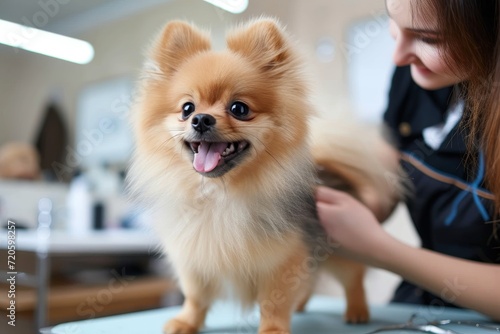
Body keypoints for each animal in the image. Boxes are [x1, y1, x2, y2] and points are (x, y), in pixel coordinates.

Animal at [130, 18, 402, 334]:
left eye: (239, 108)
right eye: (187, 109)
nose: (201, 119)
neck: (219, 195)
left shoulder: (283, 258)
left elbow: (274, 301)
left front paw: (273, 329)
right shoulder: (194, 258)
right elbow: (195, 296)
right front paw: (186, 321)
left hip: (343, 251)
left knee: (353, 279)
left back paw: (357, 310)